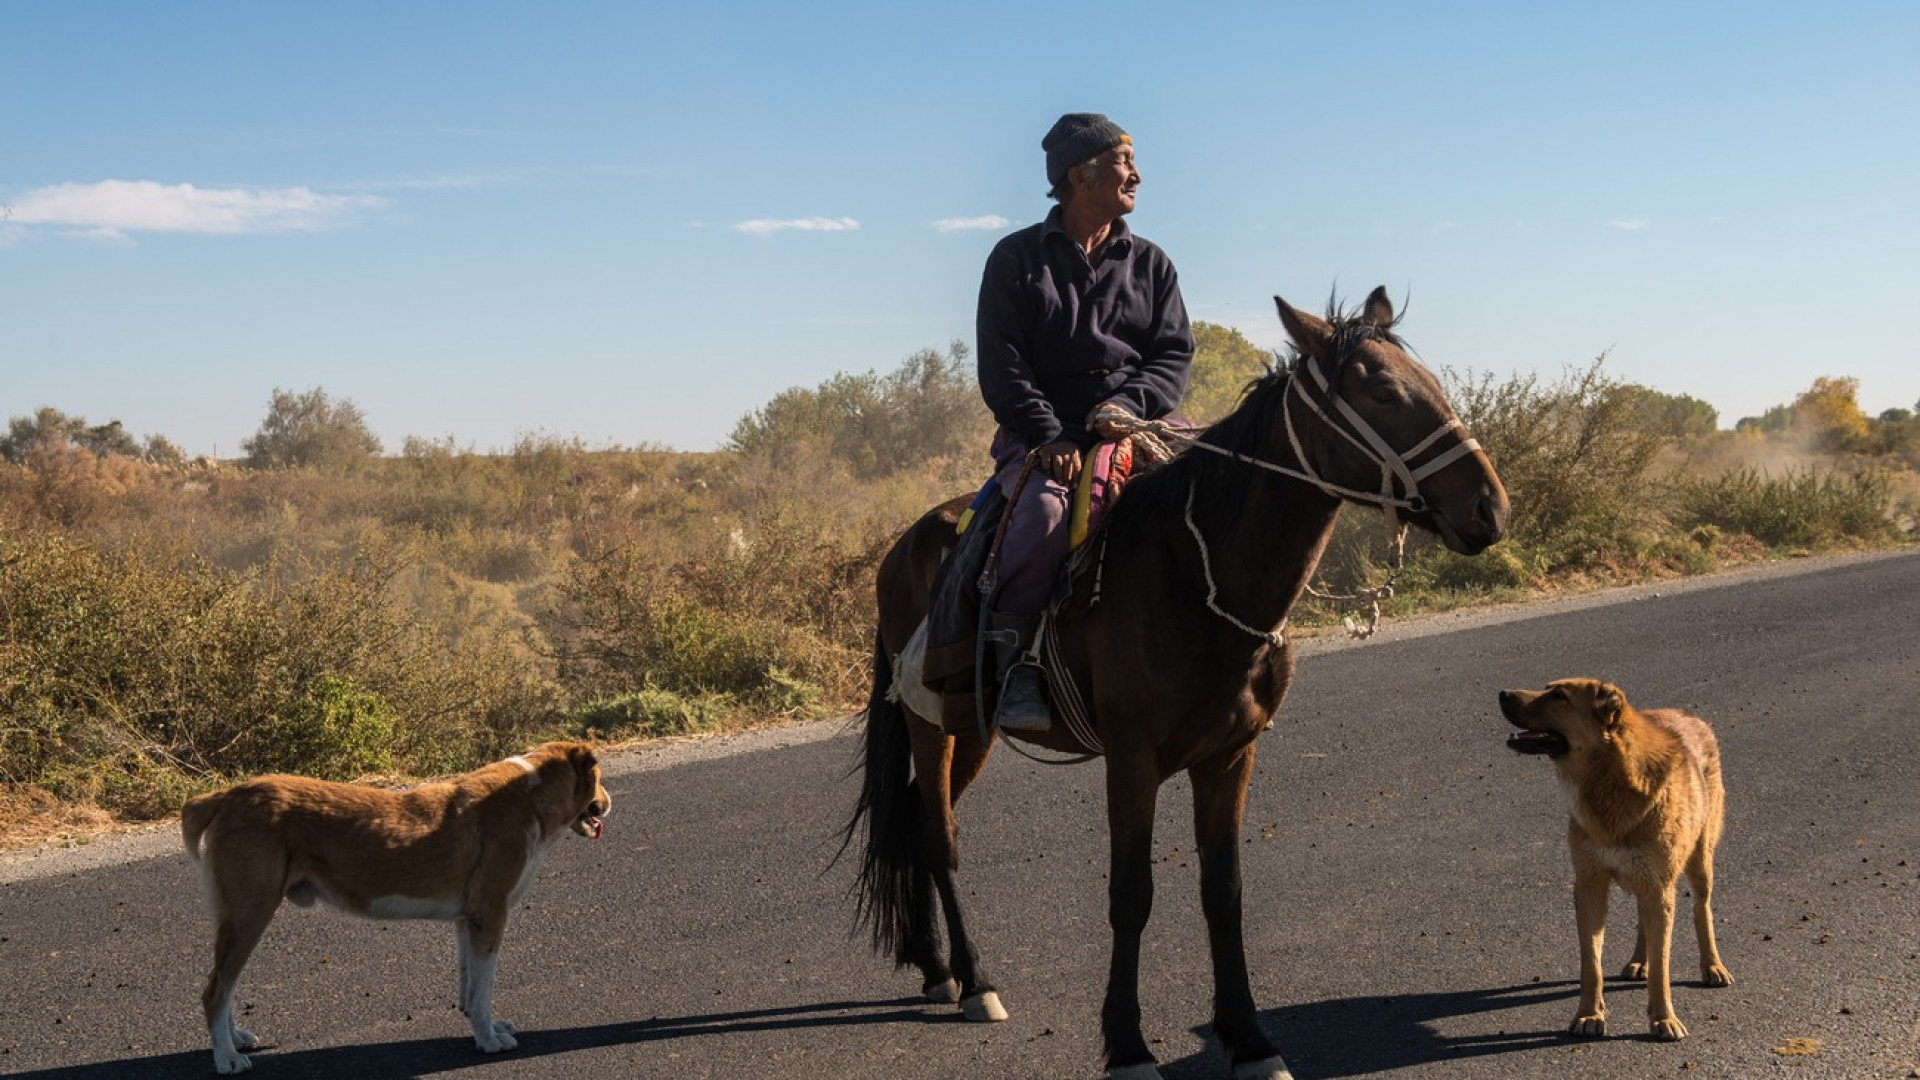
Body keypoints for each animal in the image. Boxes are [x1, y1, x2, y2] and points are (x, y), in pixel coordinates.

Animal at [182, 737, 606, 1068]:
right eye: (600, 781)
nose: (608, 803)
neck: (528, 796)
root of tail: (225, 796)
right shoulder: (490, 916)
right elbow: (484, 989)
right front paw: (487, 1040)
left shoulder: (468, 920)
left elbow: (469, 987)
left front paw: (480, 1026)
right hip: (250, 913)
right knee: (215, 990)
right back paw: (226, 1058)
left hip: (240, 919)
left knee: (225, 983)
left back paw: (235, 1039)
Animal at [848, 288, 1505, 1076]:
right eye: (1379, 390)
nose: (1490, 507)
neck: (1195, 570)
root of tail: (901, 547)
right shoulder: (1132, 762)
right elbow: (1132, 895)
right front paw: (1128, 1044)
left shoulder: (1229, 755)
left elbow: (1224, 891)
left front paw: (1249, 1038)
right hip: (933, 724)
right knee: (941, 837)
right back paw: (977, 980)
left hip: (970, 729)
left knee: (921, 822)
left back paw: (938, 969)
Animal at [1497, 676, 1743, 1037]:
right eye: (1547, 687)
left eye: (1559, 696)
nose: (1502, 694)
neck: (1611, 779)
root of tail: (1690, 716)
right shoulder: (1590, 885)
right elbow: (1591, 963)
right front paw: (1589, 1015)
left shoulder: (1658, 886)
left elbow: (1662, 967)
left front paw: (1663, 1018)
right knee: (1644, 921)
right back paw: (1640, 961)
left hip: (1698, 864)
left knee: (1702, 910)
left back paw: (1712, 965)